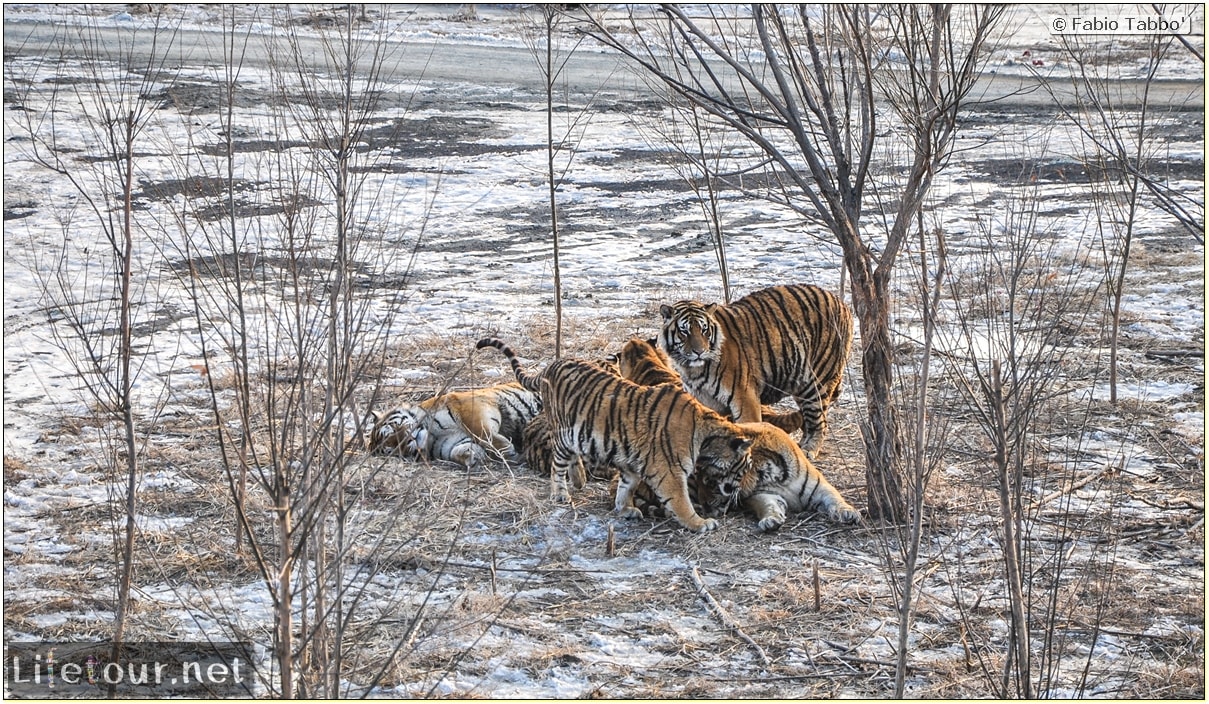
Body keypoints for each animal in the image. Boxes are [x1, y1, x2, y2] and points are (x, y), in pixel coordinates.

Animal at [365, 379, 541, 469]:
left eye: (393, 430)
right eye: (392, 450)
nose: (408, 441)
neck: (431, 434)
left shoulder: (470, 407)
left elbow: (484, 434)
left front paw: (507, 450)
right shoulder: (451, 443)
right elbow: (458, 450)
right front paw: (473, 456)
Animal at [473, 338, 749, 534]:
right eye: (744, 466)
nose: (738, 492)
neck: (706, 436)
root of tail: (551, 365)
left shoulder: (633, 464)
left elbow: (626, 487)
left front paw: (625, 509)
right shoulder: (670, 473)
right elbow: (681, 502)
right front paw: (701, 523)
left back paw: (580, 480)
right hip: (562, 434)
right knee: (557, 466)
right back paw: (561, 493)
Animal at [657, 284, 855, 459]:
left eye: (704, 330)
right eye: (684, 331)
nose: (699, 351)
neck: (693, 370)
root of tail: (842, 304)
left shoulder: (744, 397)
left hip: (817, 380)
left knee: (818, 421)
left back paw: (809, 449)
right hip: (801, 384)